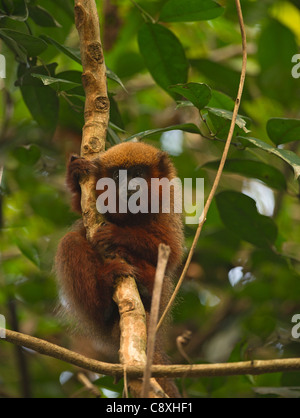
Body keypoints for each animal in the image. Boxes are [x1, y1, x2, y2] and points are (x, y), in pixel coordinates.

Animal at [55, 142, 184, 396]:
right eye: (117, 176)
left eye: (137, 173)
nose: (129, 187)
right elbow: (80, 209)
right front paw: (74, 175)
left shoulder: (167, 207)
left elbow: (171, 252)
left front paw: (118, 234)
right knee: (70, 242)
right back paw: (105, 294)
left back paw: (144, 284)